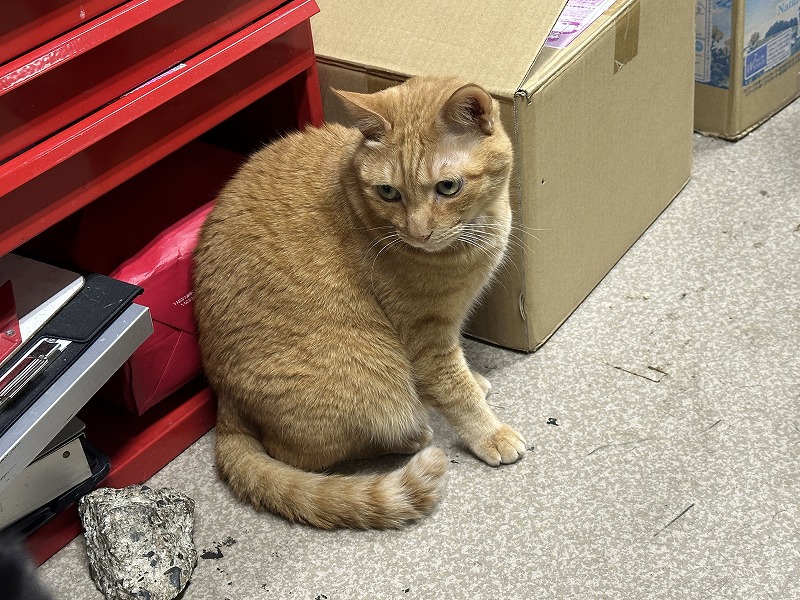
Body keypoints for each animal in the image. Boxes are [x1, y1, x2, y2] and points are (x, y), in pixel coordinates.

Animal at [192, 75, 526, 529]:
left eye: (448, 187)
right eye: (388, 192)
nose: (417, 233)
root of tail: (224, 404)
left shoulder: (450, 321)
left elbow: (457, 372)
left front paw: (474, 379)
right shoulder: (424, 335)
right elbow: (453, 389)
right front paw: (489, 432)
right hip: (371, 379)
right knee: (300, 454)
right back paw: (413, 436)